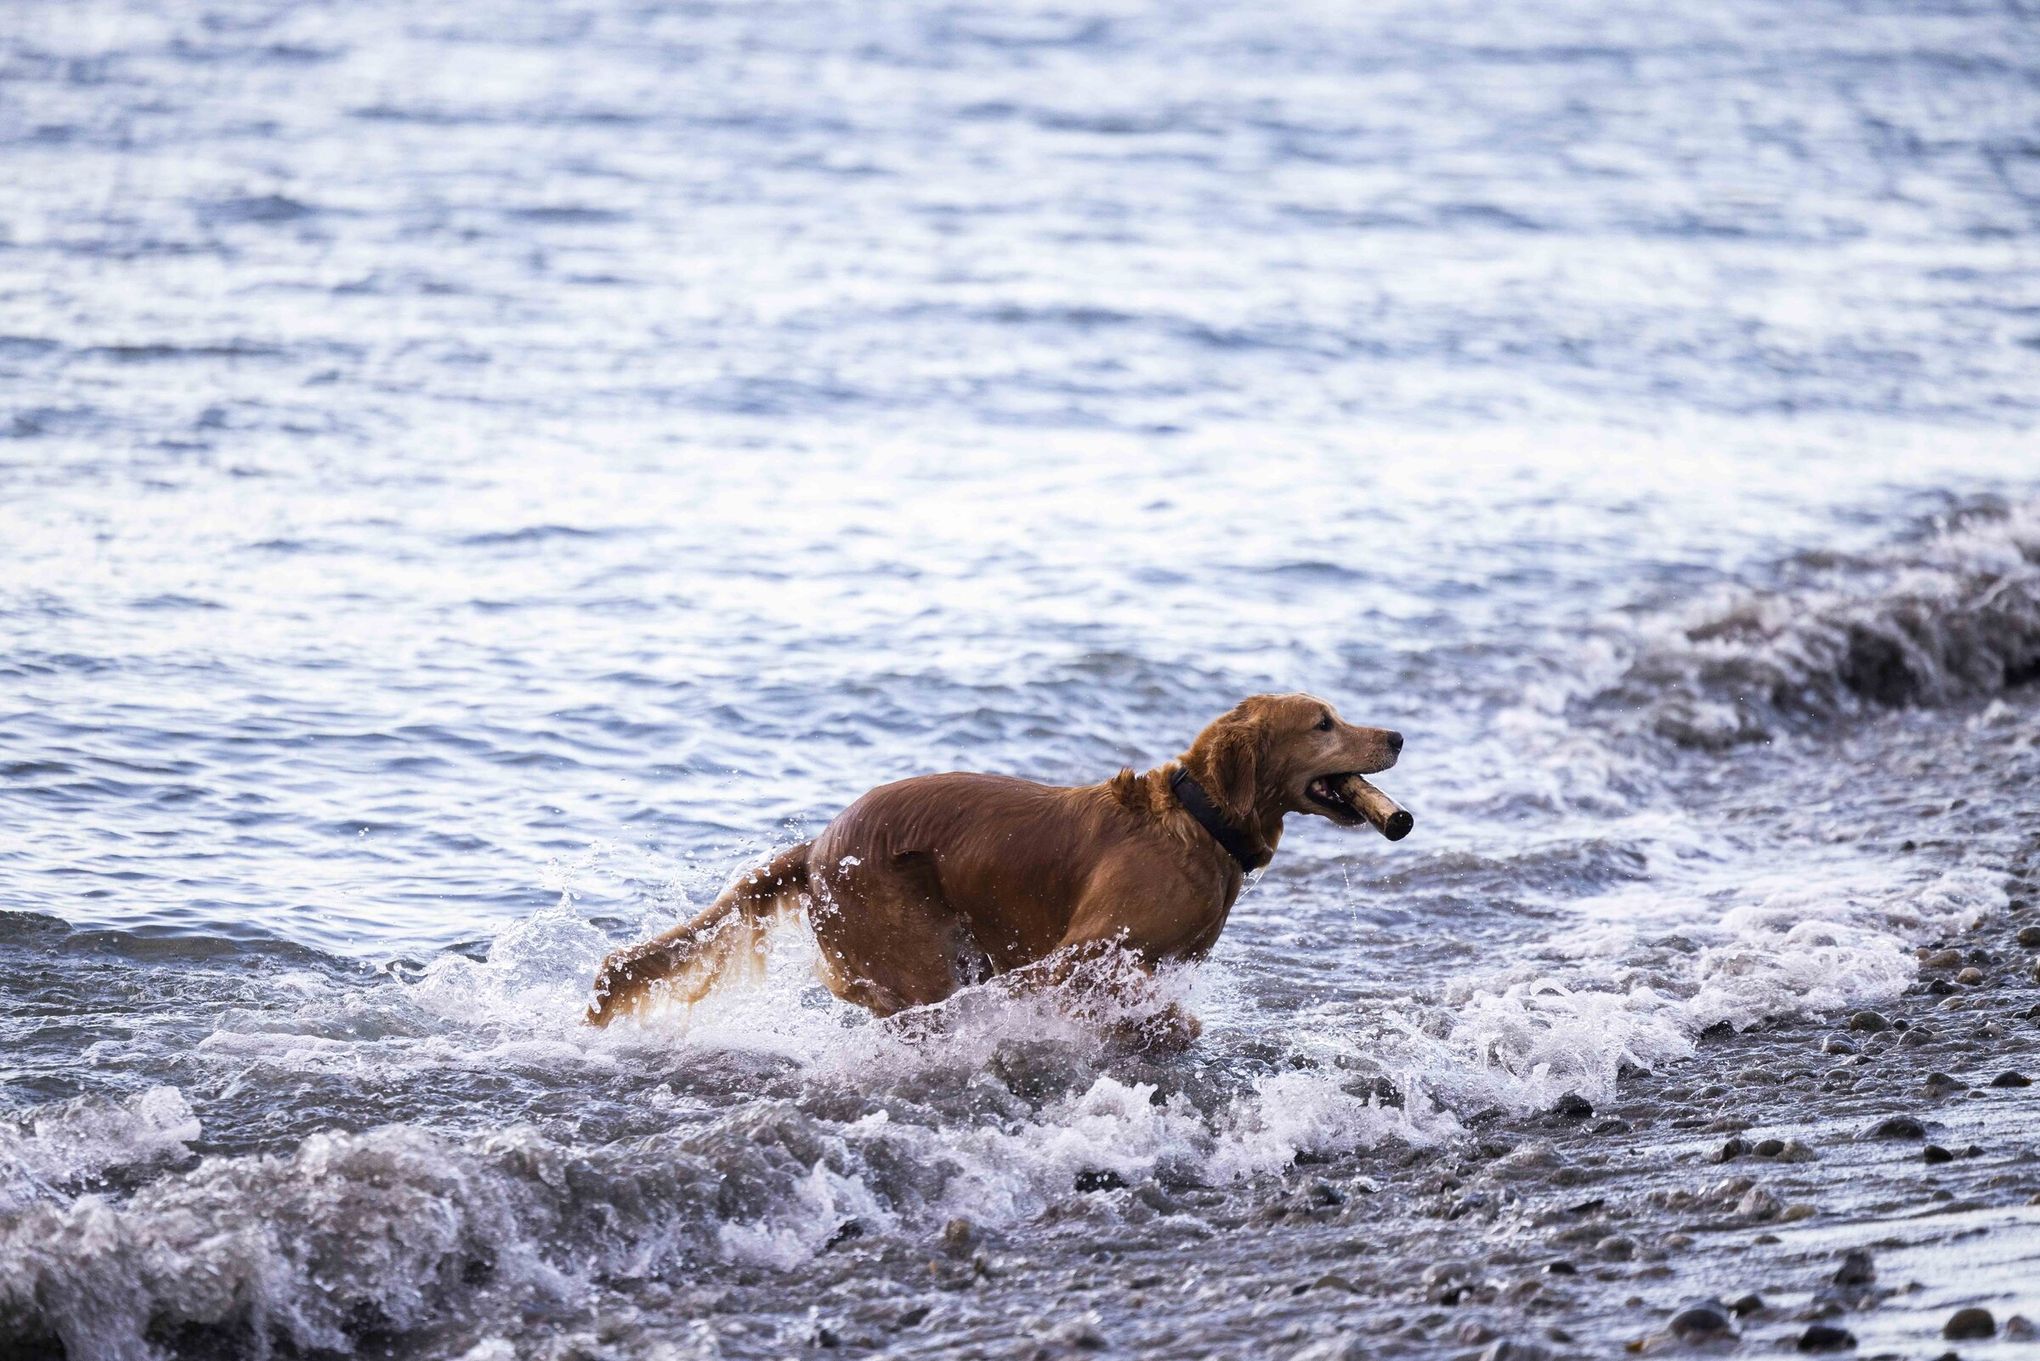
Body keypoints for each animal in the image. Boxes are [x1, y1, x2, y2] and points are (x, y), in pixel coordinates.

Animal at [591, 697, 1403, 1028]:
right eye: (1324, 723)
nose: (1396, 734)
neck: (1198, 826)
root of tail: (819, 843)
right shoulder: (1080, 953)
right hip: (914, 958)